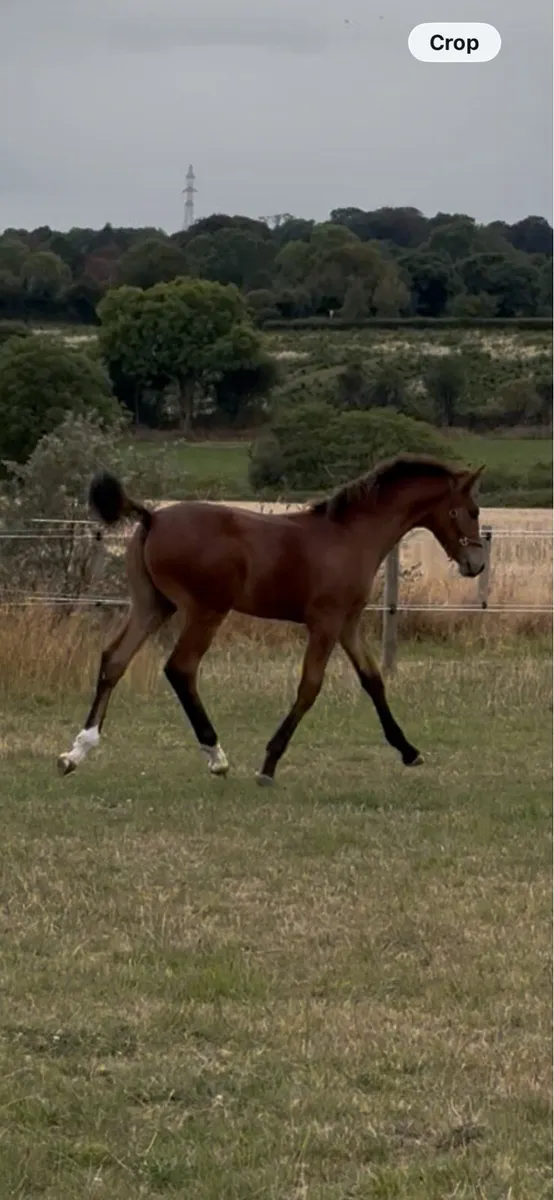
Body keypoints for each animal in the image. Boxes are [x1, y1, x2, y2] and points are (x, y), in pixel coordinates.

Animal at [57, 454, 485, 785]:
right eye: (472, 510)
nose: (476, 564)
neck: (351, 536)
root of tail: (152, 518)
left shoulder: (348, 623)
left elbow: (372, 680)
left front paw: (408, 750)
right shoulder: (326, 623)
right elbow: (310, 686)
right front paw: (269, 763)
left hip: (153, 605)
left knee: (114, 659)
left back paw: (77, 751)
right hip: (205, 610)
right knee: (181, 668)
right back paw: (216, 757)